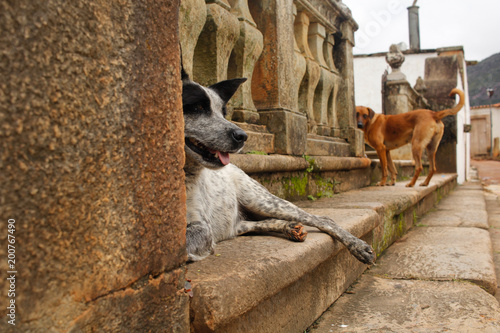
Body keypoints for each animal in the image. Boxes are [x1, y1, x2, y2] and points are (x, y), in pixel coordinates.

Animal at [181, 70, 376, 264]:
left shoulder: (202, 227)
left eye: (223, 113)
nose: (242, 136)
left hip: (263, 201)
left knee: (324, 219)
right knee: (260, 223)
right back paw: (289, 227)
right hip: (241, 221)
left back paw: (358, 246)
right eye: (197, 107)